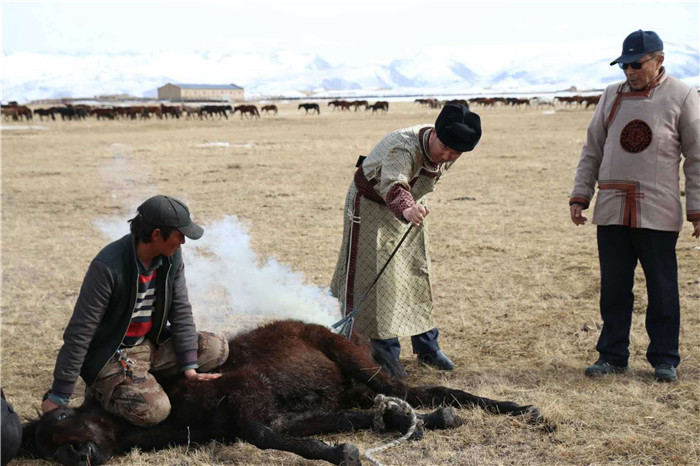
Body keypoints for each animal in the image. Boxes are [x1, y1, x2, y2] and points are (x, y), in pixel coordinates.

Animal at [20, 320, 552, 466]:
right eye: (41, 450)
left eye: (60, 419)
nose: (76, 456)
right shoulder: (290, 416)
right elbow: (302, 431)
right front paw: (348, 446)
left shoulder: (247, 394)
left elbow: (259, 436)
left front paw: (343, 454)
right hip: (354, 386)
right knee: (398, 401)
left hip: (357, 364)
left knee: (420, 388)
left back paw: (522, 409)